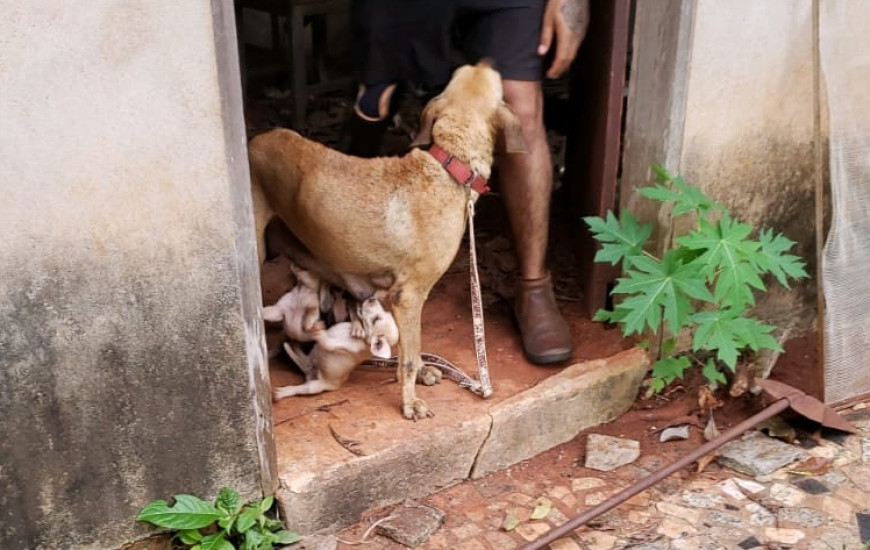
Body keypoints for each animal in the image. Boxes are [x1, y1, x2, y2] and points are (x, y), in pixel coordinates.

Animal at [249, 61, 528, 422]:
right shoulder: (408, 296)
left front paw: (423, 372)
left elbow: (413, 345)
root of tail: (255, 138)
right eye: (495, 81)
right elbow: (407, 357)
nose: (489, 61)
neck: (449, 166)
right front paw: (410, 401)